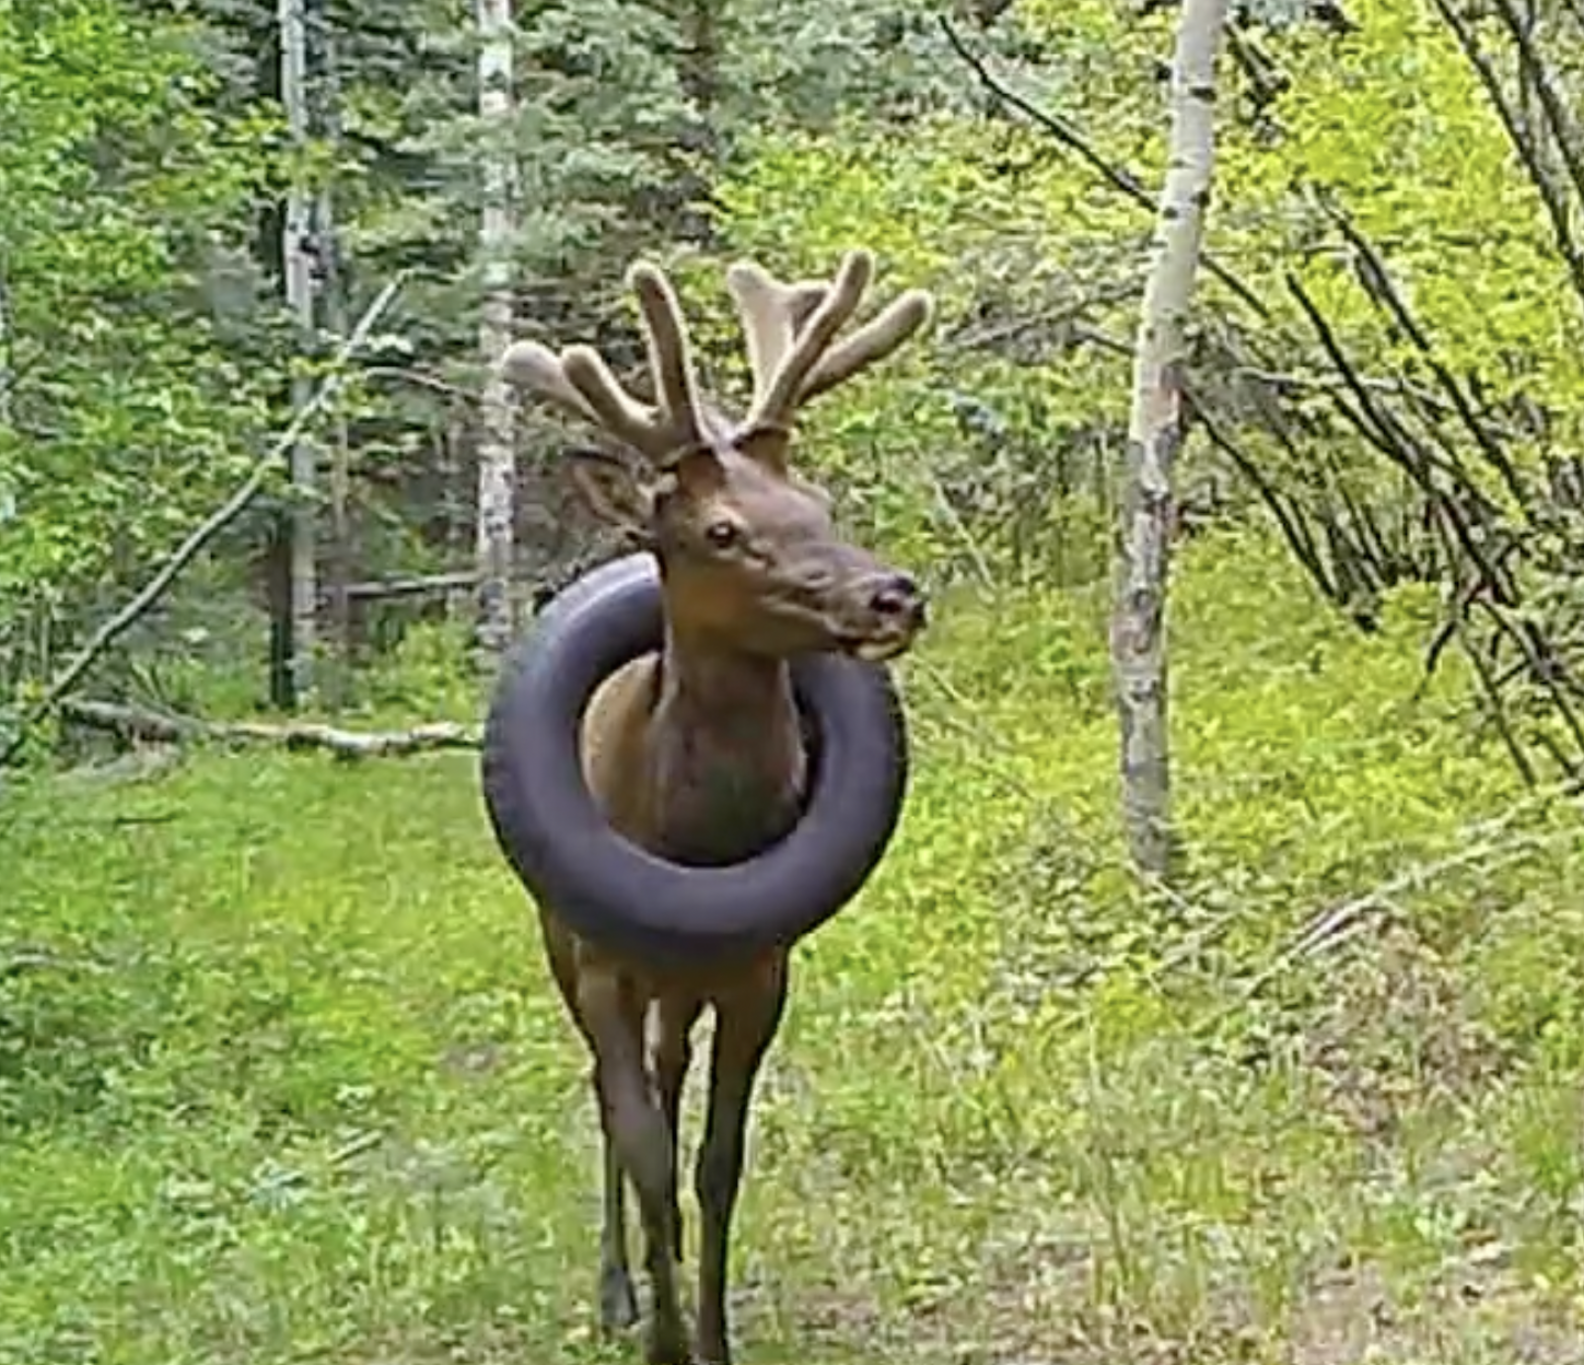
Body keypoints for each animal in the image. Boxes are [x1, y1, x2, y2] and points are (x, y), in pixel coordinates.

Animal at [497, 248, 934, 1365]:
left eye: (817, 499)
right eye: (721, 529)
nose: (893, 594)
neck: (694, 839)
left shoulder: (759, 972)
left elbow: (716, 1158)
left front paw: (714, 1333)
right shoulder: (600, 961)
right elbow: (647, 1148)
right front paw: (660, 1337)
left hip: (681, 984)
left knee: (665, 1072)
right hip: (560, 939)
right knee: (610, 1096)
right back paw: (618, 1285)